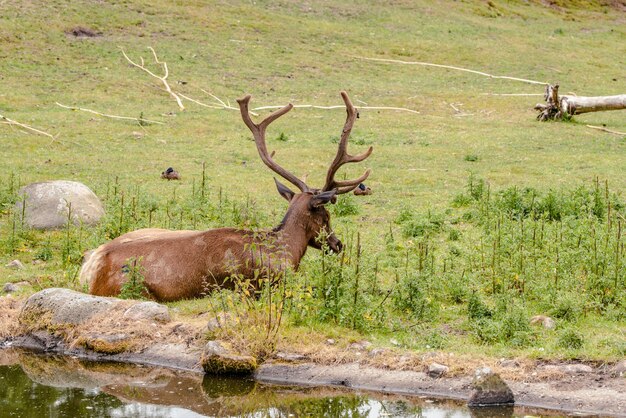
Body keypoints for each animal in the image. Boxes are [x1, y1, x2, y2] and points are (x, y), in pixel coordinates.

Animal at [78, 90, 370, 300]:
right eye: (326, 215)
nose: (338, 244)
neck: (284, 250)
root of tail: (91, 268)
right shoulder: (261, 283)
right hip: (137, 289)